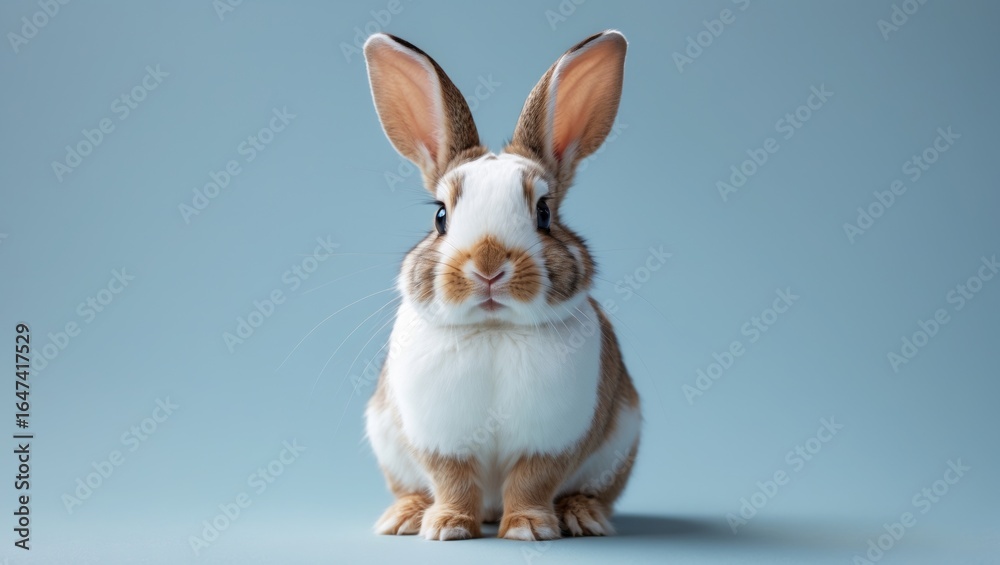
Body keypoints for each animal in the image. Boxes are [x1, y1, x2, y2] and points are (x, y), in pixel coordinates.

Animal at [362, 30, 640, 541]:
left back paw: (581, 516)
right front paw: (447, 527)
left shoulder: (553, 439)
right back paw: (405, 516)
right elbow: (452, 480)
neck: (494, 330)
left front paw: (529, 527)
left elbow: (532, 480)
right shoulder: (440, 439)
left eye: (544, 213)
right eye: (440, 216)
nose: (488, 266)